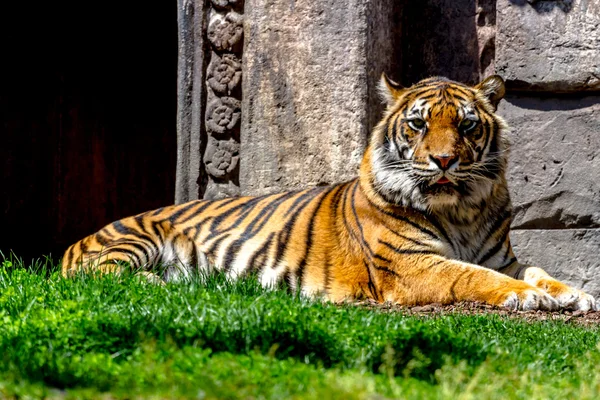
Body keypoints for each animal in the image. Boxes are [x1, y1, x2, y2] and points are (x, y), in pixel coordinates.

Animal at [61, 76, 596, 312]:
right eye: (418, 124)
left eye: (466, 126)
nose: (444, 161)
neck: (461, 208)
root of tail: (75, 240)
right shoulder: (411, 265)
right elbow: (472, 277)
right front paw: (528, 297)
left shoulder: (501, 256)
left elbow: (536, 269)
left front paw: (574, 293)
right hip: (137, 238)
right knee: (98, 276)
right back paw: (158, 283)